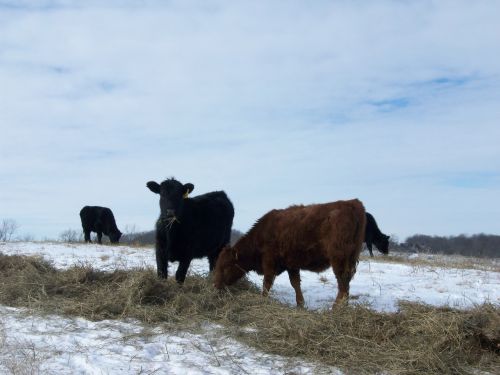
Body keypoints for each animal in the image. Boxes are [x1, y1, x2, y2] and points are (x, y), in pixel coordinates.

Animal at [213, 200, 366, 308]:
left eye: (226, 266)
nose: (215, 285)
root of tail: (352, 203)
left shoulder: (269, 262)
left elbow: (267, 282)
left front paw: (263, 299)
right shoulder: (292, 265)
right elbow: (295, 283)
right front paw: (300, 304)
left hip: (338, 259)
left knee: (342, 281)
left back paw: (336, 308)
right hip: (350, 259)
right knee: (346, 282)